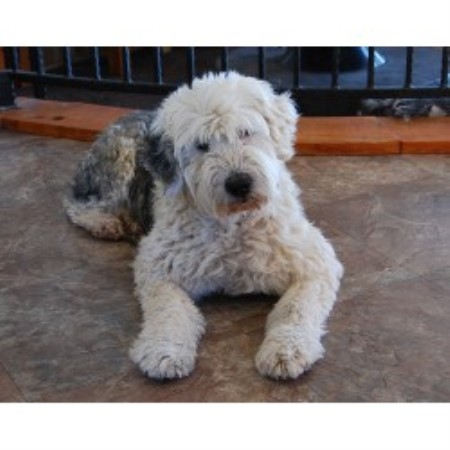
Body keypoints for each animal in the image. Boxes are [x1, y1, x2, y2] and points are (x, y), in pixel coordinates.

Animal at [66, 71, 342, 380]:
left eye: (245, 132)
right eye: (202, 145)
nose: (239, 183)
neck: (233, 225)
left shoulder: (314, 261)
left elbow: (295, 307)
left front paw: (286, 351)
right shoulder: (157, 265)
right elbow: (169, 307)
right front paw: (164, 351)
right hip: (118, 164)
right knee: (78, 202)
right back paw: (105, 223)